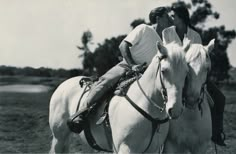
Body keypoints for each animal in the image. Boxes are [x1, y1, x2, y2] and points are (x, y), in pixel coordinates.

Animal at [49, 41, 188, 153]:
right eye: (164, 71)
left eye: (186, 73)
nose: (175, 109)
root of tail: (62, 85)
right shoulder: (125, 148)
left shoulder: (152, 150)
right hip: (59, 138)